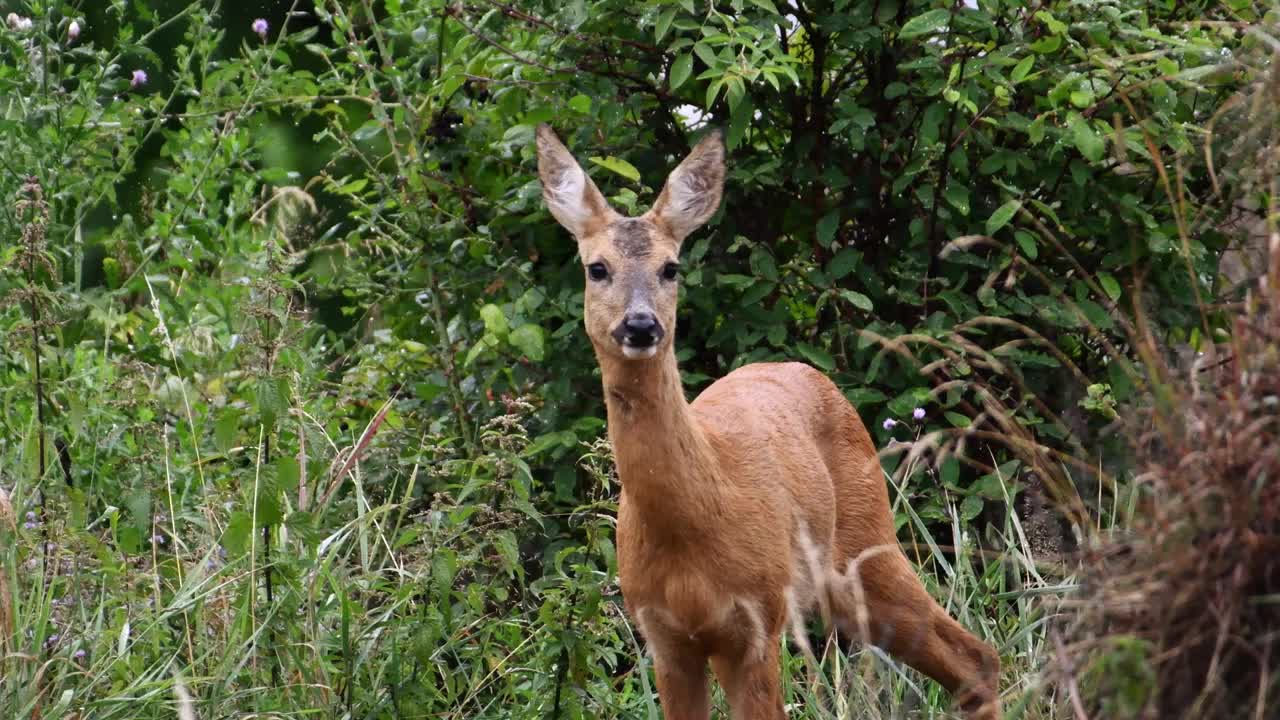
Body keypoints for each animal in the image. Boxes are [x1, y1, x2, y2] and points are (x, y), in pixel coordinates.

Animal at [529, 126, 998, 712]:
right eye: (597, 268)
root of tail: (812, 374)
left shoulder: (758, 621)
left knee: (977, 656)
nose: (640, 325)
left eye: (670, 267)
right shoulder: (664, 639)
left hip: (867, 541)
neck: (694, 524)